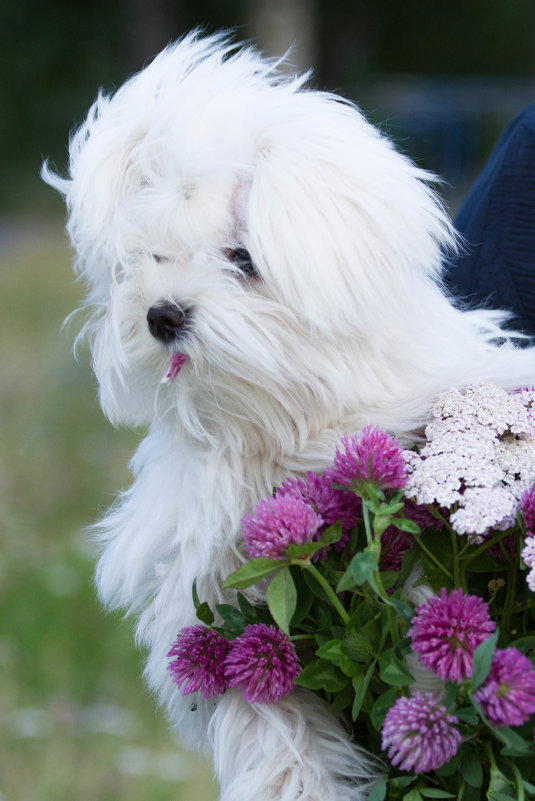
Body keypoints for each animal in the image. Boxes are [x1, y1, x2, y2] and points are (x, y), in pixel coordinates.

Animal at [44, 31, 535, 800]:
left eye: (242, 257)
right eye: (154, 256)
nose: (161, 314)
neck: (282, 417)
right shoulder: (216, 594)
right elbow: (270, 717)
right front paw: (300, 782)